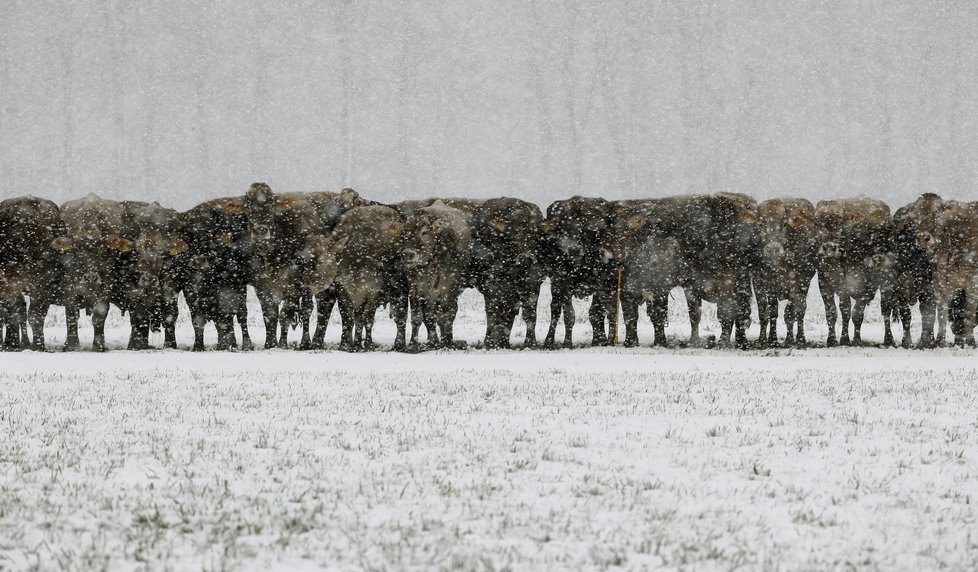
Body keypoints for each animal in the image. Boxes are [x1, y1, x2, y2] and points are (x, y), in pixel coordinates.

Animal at [468, 197, 544, 348]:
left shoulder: (532, 284)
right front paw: (489, 343)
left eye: (535, 234)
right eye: (515, 233)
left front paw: (530, 343)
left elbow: (530, 314)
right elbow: (492, 313)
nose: (527, 258)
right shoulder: (492, 286)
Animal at [536, 197, 612, 348]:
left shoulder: (600, 283)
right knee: (555, 310)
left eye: (583, 229)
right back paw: (549, 340)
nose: (574, 249)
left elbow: (596, 312)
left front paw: (600, 340)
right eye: (563, 229)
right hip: (555, 284)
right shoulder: (564, 283)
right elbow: (569, 315)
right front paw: (567, 342)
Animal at [756, 197, 816, 348]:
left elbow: (793, 312)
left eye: (784, 223)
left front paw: (796, 339)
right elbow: (772, 311)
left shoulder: (799, 283)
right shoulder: (768, 283)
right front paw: (771, 339)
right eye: (761, 223)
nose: (773, 249)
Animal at [812, 199, 888, 346]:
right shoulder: (825, 286)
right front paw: (832, 339)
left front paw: (852, 339)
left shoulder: (861, 288)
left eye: (839, 225)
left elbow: (855, 314)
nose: (828, 248)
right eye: (818, 224)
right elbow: (833, 312)